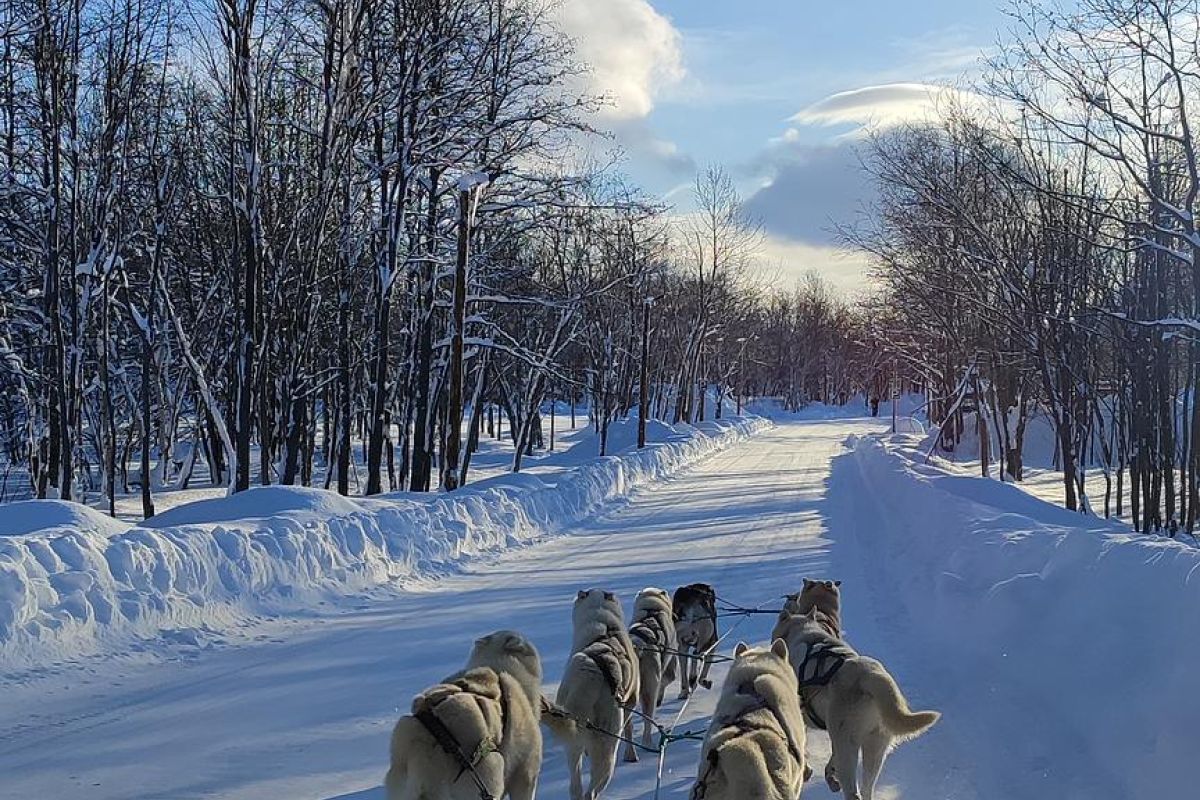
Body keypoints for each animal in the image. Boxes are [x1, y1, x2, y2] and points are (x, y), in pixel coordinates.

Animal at [624, 585, 681, 762]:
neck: (651, 610)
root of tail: (638, 646)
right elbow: (667, 680)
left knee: (628, 725)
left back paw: (630, 753)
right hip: (649, 687)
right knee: (647, 718)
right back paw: (647, 743)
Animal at [772, 609, 940, 796]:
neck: (804, 632)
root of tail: (869, 676)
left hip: (848, 746)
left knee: (853, 791)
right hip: (874, 748)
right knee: (867, 789)